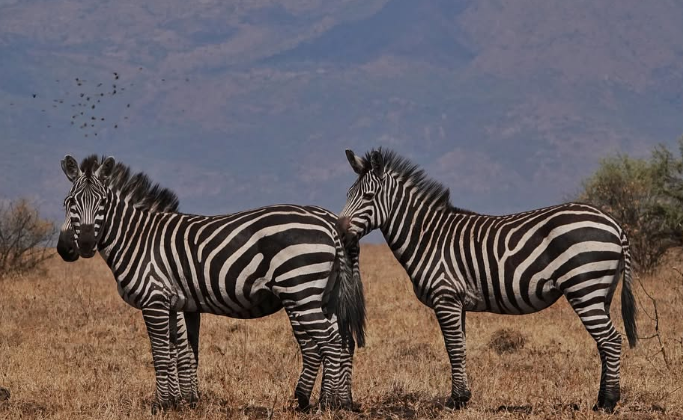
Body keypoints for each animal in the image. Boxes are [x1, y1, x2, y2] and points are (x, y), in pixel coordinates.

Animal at [342, 148, 640, 414]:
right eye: (347, 195)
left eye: (368, 196)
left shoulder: (445, 297)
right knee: (604, 343)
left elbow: (453, 348)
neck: (428, 236)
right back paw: (600, 400)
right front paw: (463, 396)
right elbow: (460, 347)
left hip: (585, 288)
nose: (341, 232)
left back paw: (609, 403)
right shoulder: (457, 302)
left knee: (611, 340)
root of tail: (614, 224)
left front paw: (456, 401)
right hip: (601, 292)